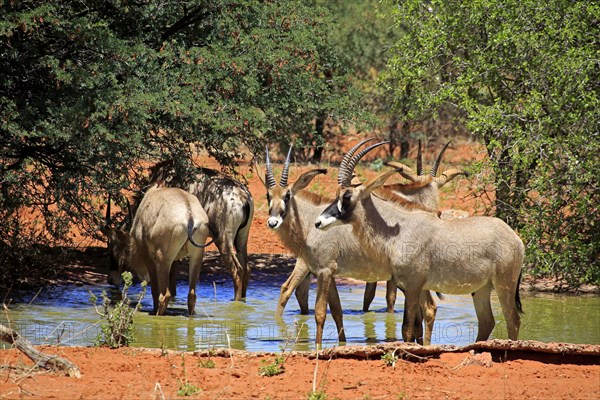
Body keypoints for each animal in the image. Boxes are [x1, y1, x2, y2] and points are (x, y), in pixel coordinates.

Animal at [103, 184, 213, 316]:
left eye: (110, 251)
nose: (111, 280)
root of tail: (189, 216)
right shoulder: (173, 261)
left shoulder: (148, 256)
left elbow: (154, 289)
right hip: (196, 257)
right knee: (191, 295)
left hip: (162, 259)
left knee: (165, 295)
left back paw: (157, 314)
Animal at [150, 161, 255, 302]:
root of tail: (243, 197)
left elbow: (171, 269)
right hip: (242, 238)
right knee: (246, 268)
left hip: (223, 239)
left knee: (237, 270)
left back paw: (236, 302)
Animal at [258, 143, 436, 344]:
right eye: (268, 195)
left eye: (287, 195)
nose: (273, 222)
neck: (310, 223)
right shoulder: (329, 273)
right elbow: (337, 311)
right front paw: (341, 344)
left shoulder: (324, 271)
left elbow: (320, 313)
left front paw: (318, 347)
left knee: (428, 309)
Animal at [314, 139, 524, 342]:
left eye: (347, 196)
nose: (319, 222)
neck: (399, 229)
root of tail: (516, 238)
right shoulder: (416, 286)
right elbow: (416, 324)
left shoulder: (413, 286)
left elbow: (408, 327)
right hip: (482, 288)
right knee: (487, 322)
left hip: (504, 284)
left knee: (513, 320)